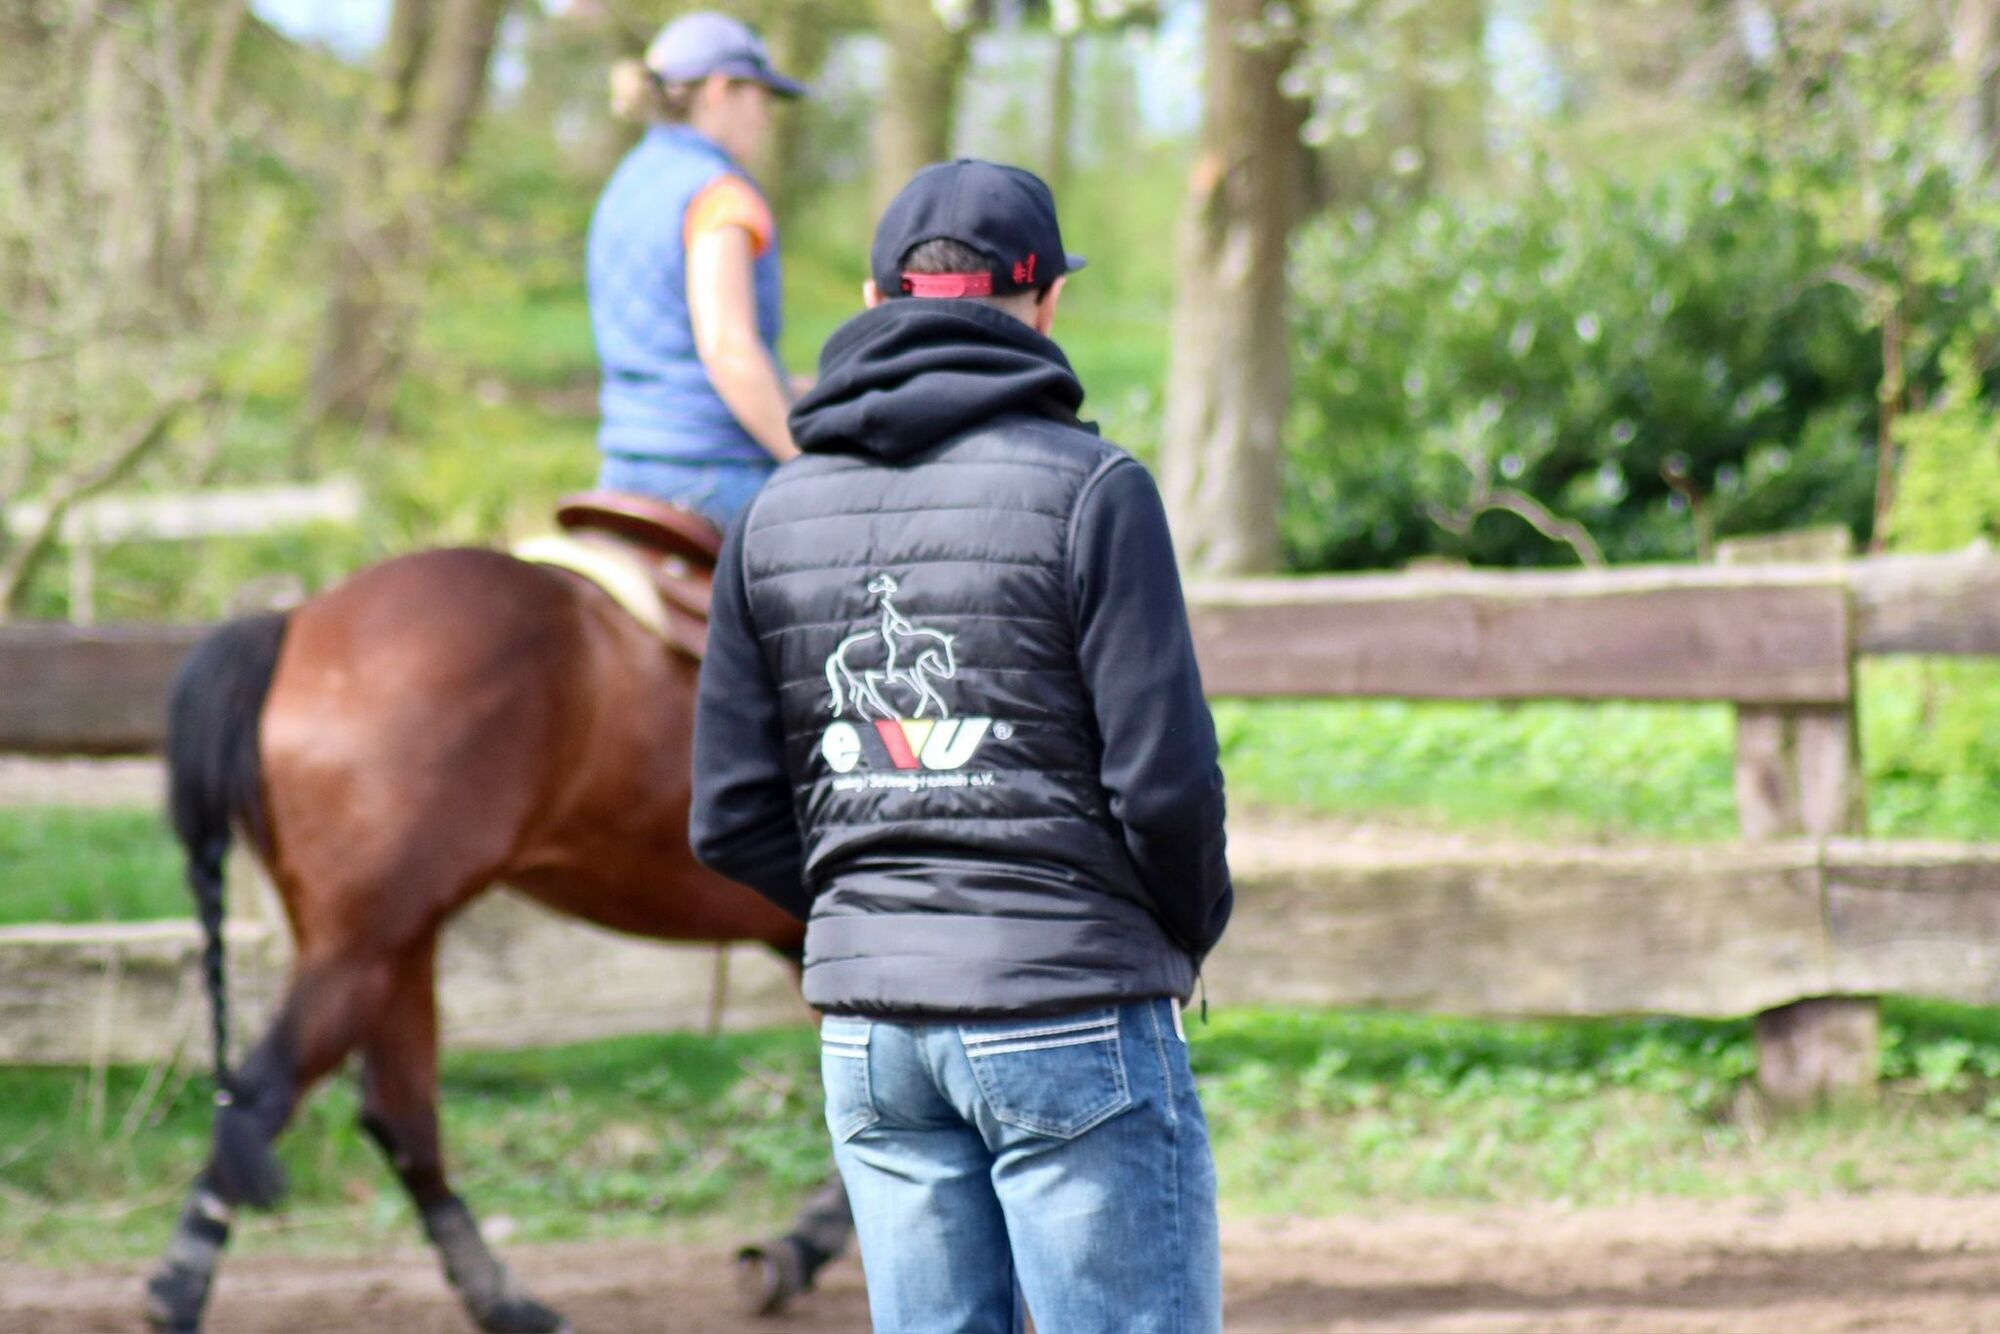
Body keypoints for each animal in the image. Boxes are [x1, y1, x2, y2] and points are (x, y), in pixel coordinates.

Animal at [143, 544, 852, 1334]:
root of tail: (297, 625)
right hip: (363, 947)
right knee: (269, 1095)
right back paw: (180, 1289)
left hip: (391, 942)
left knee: (397, 1117)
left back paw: (503, 1300)